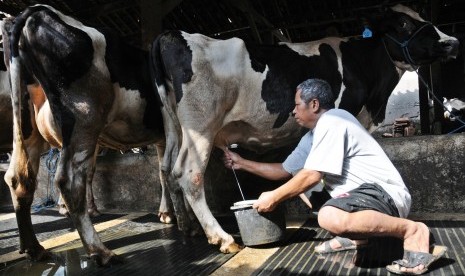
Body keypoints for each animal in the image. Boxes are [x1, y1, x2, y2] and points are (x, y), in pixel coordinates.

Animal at [151, 4, 456, 253]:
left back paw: (187, 227)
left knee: (167, 169)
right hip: (201, 124)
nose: (451, 42)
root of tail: (171, 35)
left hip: (174, 125)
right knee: (188, 174)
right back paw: (222, 237)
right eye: (403, 23)